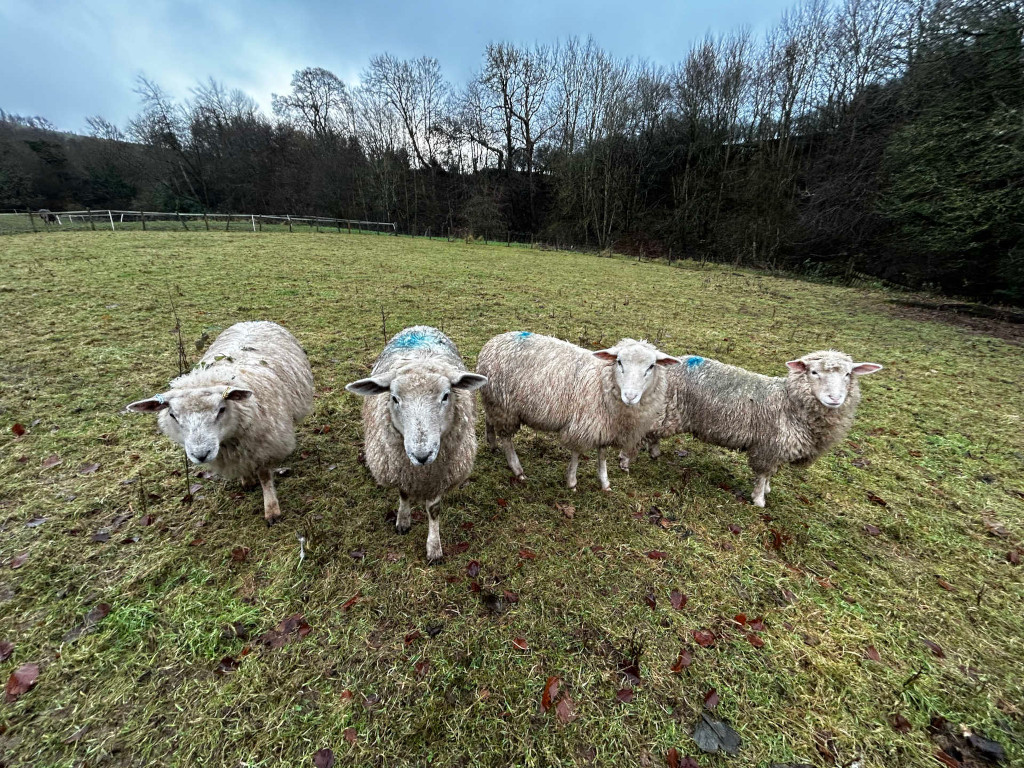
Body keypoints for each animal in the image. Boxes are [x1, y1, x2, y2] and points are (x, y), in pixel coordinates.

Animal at [127, 321, 314, 525]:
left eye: (221, 410)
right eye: (173, 415)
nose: (201, 455)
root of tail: (252, 321)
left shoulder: (263, 445)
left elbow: (265, 476)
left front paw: (272, 510)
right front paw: (247, 481)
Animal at [345, 326, 487, 563]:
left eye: (446, 395)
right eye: (394, 398)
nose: (422, 455)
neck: (421, 473)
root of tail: (419, 327)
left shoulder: (439, 476)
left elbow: (434, 510)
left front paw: (434, 547)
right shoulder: (401, 469)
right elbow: (404, 495)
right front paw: (403, 520)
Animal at [475, 332, 681, 492]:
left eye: (651, 366)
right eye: (619, 362)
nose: (630, 396)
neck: (602, 380)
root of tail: (493, 341)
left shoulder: (604, 427)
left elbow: (602, 455)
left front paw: (605, 483)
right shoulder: (582, 424)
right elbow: (576, 453)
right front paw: (572, 482)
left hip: (494, 402)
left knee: (489, 419)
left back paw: (492, 443)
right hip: (504, 407)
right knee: (507, 439)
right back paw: (517, 470)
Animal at [620, 350, 882, 507]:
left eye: (848, 374)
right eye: (814, 372)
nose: (834, 398)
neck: (789, 401)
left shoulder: (777, 449)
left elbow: (770, 475)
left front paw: (767, 490)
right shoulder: (769, 446)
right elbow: (763, 473)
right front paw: (759, 500)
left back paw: (654, 452)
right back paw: (625, 461)